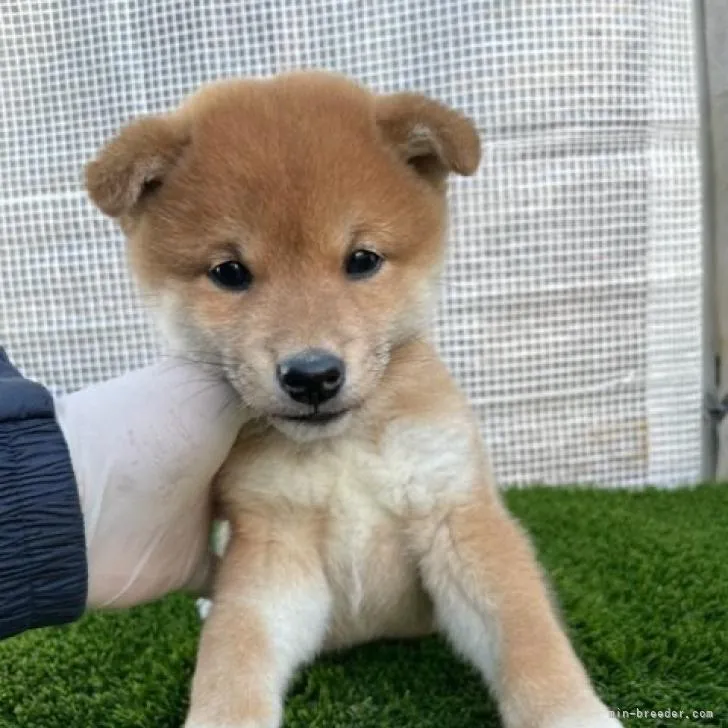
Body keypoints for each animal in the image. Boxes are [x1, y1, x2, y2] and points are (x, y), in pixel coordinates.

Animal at [85, 69, 620, 728]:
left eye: (362, 260)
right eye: (230, 272)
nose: (312, 375)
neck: (343, 451)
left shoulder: (456, 516)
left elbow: (527, 634)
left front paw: (571, 711)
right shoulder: (273, 547)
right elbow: (234, 653)